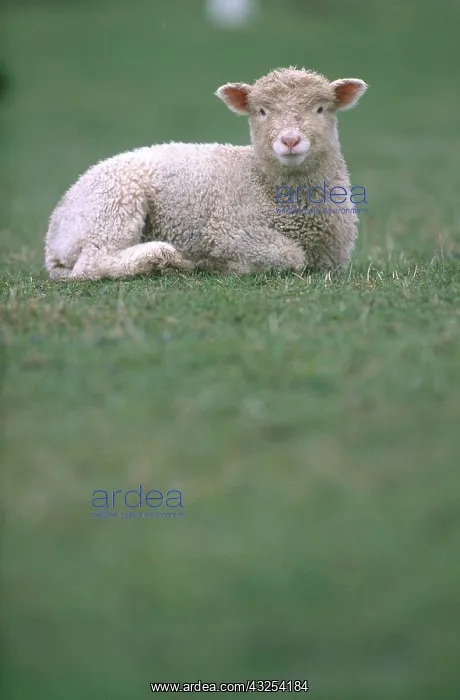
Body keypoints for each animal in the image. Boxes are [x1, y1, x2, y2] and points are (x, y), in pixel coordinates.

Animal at [45, 67, 367, 280]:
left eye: (321, 109)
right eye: (261, 111)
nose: (290, 140)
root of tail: (53, 234)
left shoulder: (332, 258)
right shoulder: (229, 231)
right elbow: (291, 256)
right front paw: (225, 266)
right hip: (113, 205)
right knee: (92, 264)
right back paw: (163, 258)